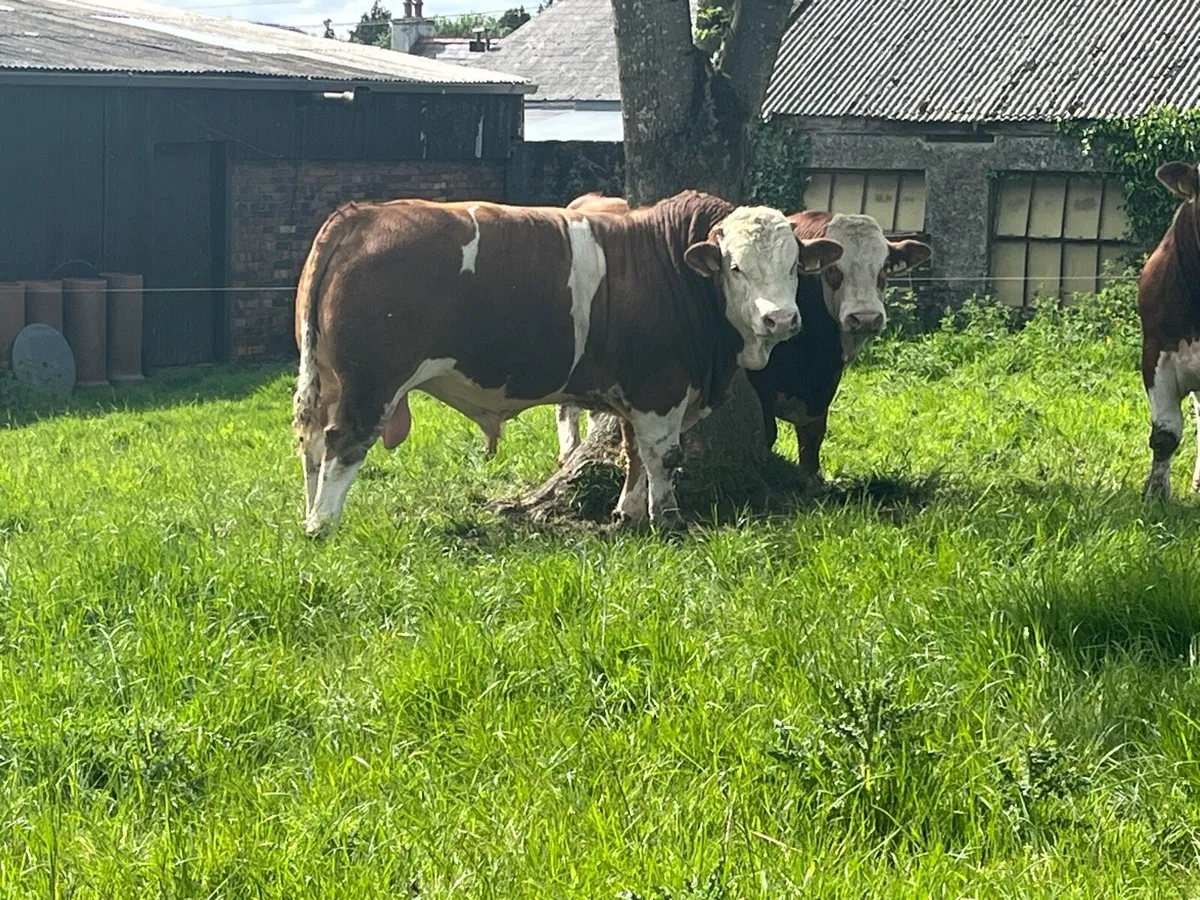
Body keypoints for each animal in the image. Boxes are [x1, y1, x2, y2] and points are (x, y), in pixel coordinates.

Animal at [292, 190, 844, 536]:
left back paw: (310, 512)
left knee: (312, 442)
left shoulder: (636, 391)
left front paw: (628, 513)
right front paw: (667, 518)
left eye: (794, 265)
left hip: (329, 379)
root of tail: (362, 214)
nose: (781, 318)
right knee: (343, 444)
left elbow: (633, 452)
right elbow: (663, 456)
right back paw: (324, 525)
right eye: (736, 267)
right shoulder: (661, 388)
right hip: (371, 383)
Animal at [555, 197, 931, 482]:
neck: (812, 355)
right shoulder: (760, 390)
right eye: (833, 272)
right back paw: (569, 449)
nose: (865, 318)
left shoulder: (821, 394)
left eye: (884, 270)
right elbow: (768, 435)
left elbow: (812, 443)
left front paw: (812, 483)